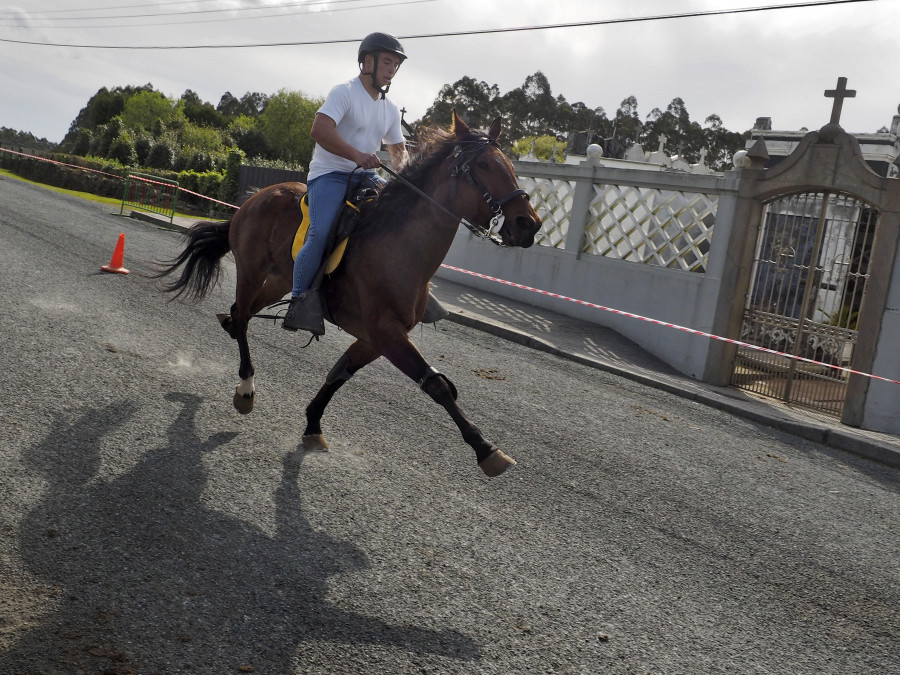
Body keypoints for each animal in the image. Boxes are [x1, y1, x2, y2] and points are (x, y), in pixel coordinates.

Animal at [153, 111, 540, 478]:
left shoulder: (374, 338)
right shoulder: (386, 333)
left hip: (280, 280)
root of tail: (256, 198)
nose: (529, 224)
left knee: (238, 312)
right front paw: (486, 449)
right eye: (484, 165)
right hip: (251, 272)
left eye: (510, 167)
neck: (398, 246)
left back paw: (229, 328)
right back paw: (246, 387)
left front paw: (312, 424)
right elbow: (437, 386)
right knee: (245, 318)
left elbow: (339, 374)